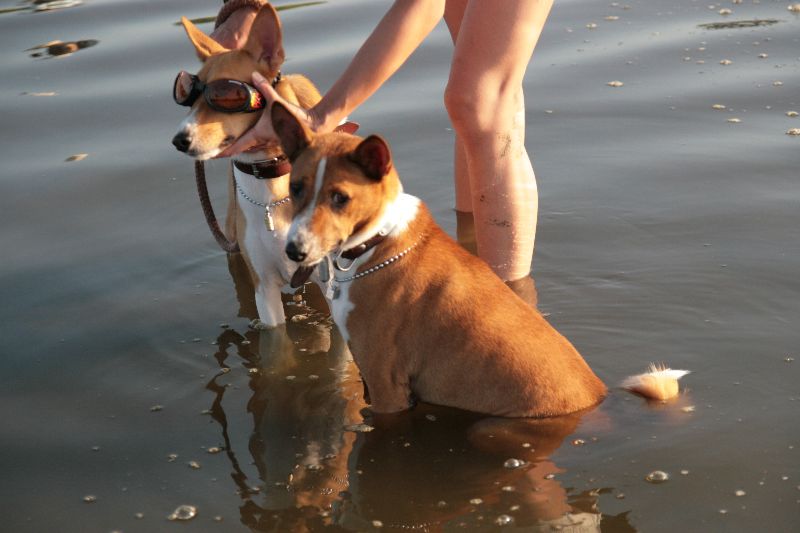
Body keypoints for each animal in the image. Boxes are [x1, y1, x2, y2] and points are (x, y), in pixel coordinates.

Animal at [171, 5, 342, 327]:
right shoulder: (264, 290)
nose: (179, 140)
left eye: (225, 95)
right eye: (189, 96)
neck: (270, 186)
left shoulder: (330, 285)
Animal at [268, 102, 609, 417]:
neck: (376, 243)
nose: (294, 251)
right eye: (295, 187)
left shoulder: (385, 384)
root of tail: (600, 398)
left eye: (340, 197)